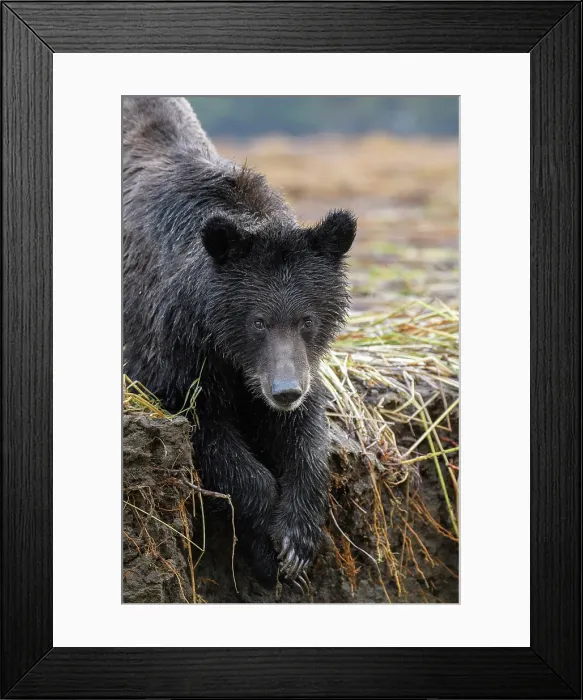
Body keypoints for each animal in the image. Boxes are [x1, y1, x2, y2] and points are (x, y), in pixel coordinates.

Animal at [123, 97, 356, 588]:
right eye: (258, 321)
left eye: (307, 319)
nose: (284, 391)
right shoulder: (171, 349)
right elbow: (207, 430)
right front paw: (268, 552)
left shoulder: (293, 364)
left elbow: (305, 435)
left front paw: (298, 541)